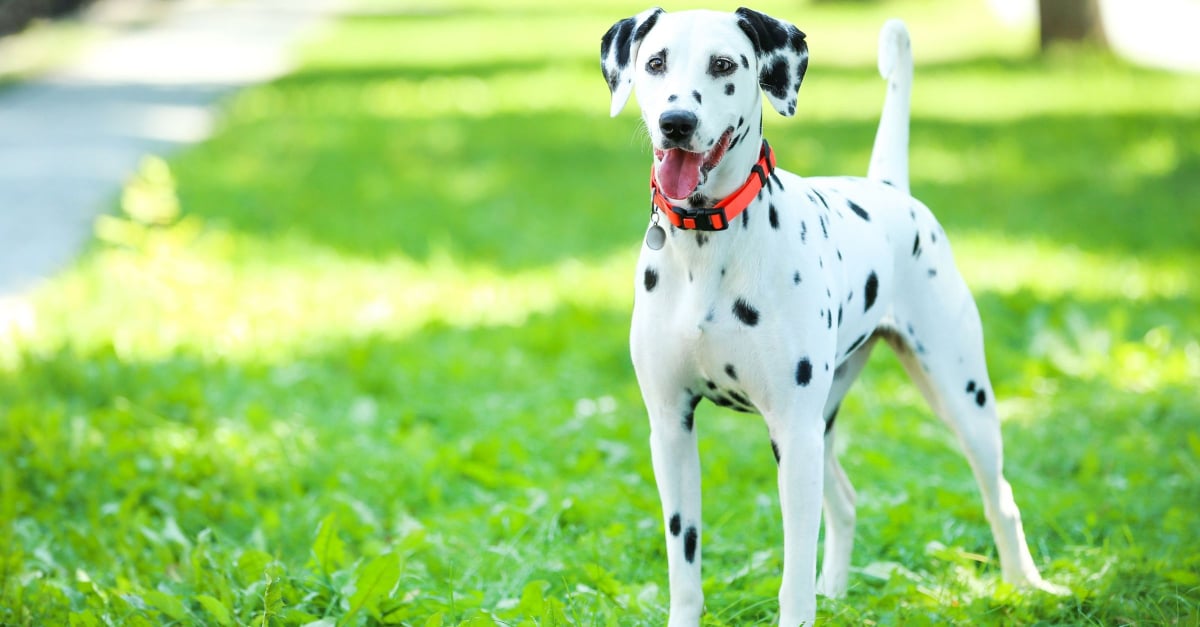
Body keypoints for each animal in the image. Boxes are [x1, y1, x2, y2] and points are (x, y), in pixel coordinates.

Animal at [600, 6, 1070, 624]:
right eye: (655, 62)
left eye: (723, 64)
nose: (676, 121)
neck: (708, 247)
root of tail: (889, 187)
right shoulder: (672, 428)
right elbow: (685, 565)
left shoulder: (794, 435)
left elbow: (793, 574)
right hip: (821, 421)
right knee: (844, 502)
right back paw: (838, 590)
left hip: (960, 400)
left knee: (1001, 498)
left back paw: (1025, 585)